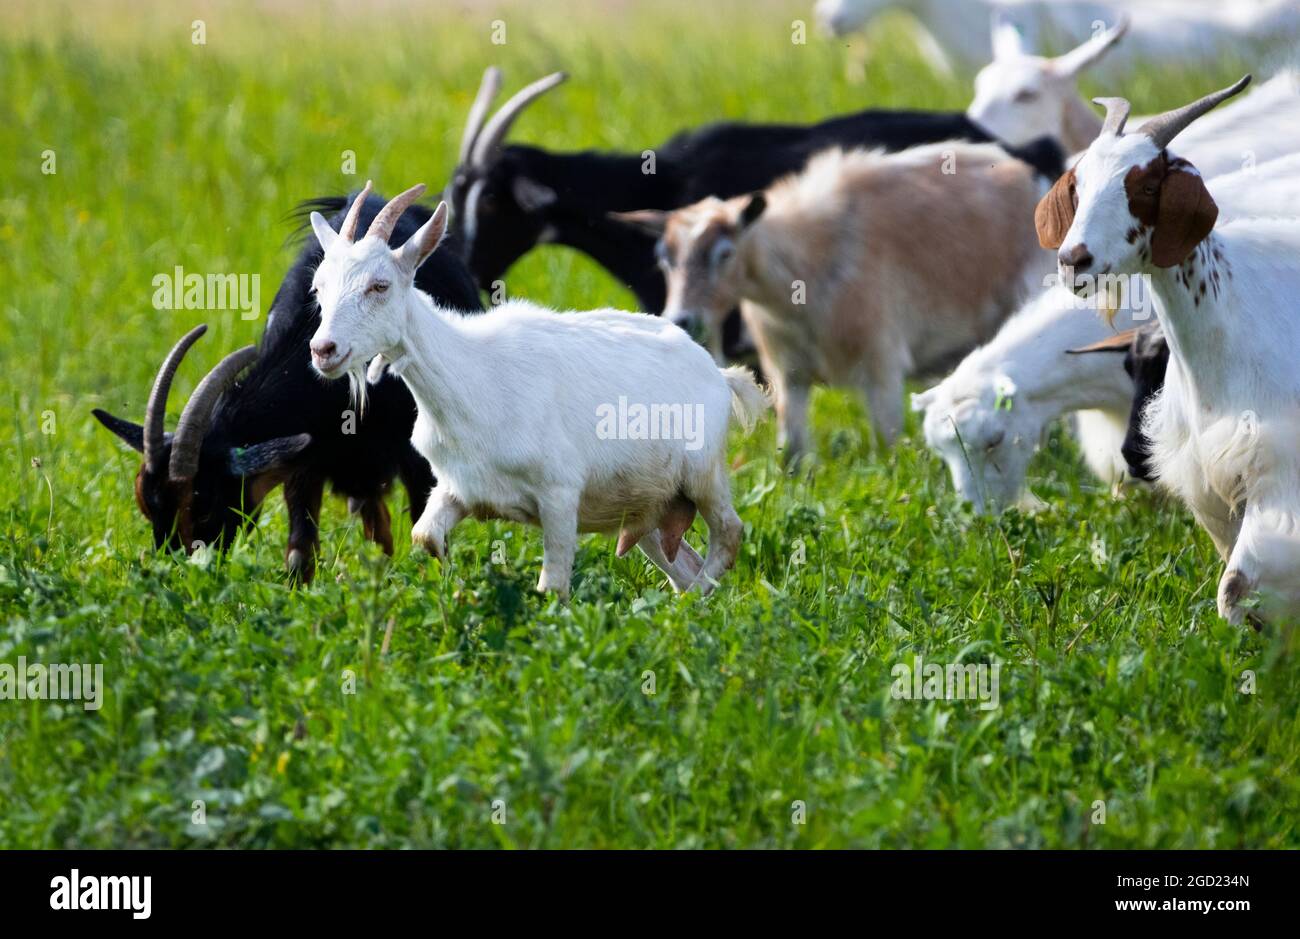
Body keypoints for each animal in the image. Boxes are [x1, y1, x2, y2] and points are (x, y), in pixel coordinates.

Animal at [93, 189, 482, 583]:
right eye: (144, 503)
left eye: (203, 504)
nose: (177, 575)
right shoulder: (305, 460)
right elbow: (300, 553)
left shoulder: (419, 458)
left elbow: (429, 538)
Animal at [306, 183, 769, 599]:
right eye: (318, 287)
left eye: (379, 285)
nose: (323, 349)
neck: (470, 375)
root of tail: (718, 374)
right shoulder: (458, 487)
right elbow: (426, 537)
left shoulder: (560, 494)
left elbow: (553, 586)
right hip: (647, 505)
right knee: (682, 561)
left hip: (703, 473)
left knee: (729, 533)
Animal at [617, 142, 1052, 457]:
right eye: (664, 258)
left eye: (725, 254)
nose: (682, 319)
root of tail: (1025, 174)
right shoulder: (788, 373)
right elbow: (791, 453)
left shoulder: (882, 363)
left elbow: (887, 448)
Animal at [1037, 75, 1300, 626]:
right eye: (1077, 185)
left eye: (1146, 186)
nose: (1074, 260)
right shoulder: (1213, 481)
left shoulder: (1277, 469)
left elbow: (1234, 588)